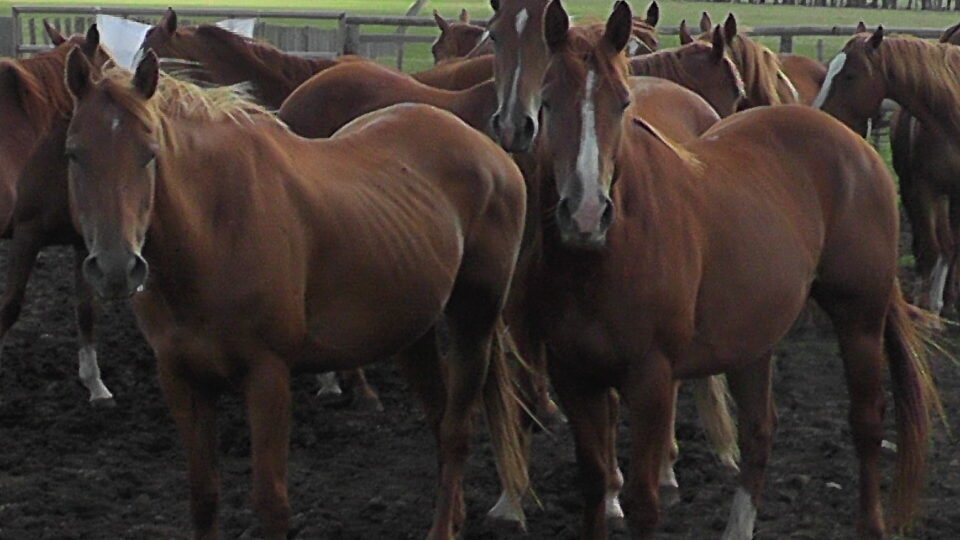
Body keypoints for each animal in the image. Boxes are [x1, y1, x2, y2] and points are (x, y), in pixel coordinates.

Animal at [0, 23, 116, 405]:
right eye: (109, 66)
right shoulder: (26, 235)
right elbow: (10, 306)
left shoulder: (82, 242)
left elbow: (86, 310)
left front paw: (94, 383)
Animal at [63, 47, 528, 540]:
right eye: (73, 154)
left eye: (149, 153)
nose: (115, 267)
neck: (215, 229)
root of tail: (491, 153)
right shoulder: (182, 379)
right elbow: (204, 496)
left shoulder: (268, 376)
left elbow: (272, 503)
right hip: (412, 330)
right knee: (440, 421)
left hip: (474, 322)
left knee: (457, 431)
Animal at [528, 2, 938, 538]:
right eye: (547, 101)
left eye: (622, 102)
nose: (584, 214)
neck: (604, 259)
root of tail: (855, 146)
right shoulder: (574, 377)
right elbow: (595, 485)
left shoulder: (652, 379)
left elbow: (642, 500)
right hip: (754, 335)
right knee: (760, 430)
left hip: (860, 318)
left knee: (866, 421)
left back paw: (871, 523)